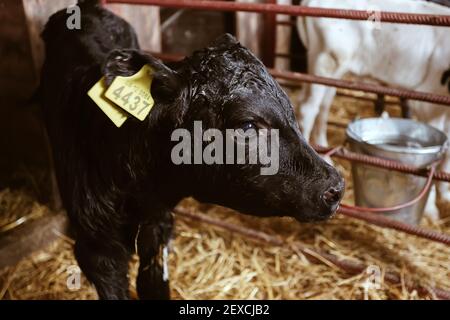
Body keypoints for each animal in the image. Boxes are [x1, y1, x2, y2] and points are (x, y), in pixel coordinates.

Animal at [298, 0, 450, 218]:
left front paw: (445, 196)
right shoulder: (430, 100)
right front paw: (431, 209)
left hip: (333, 72)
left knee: (323, 106)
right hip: (325, 63)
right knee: (308, 108)